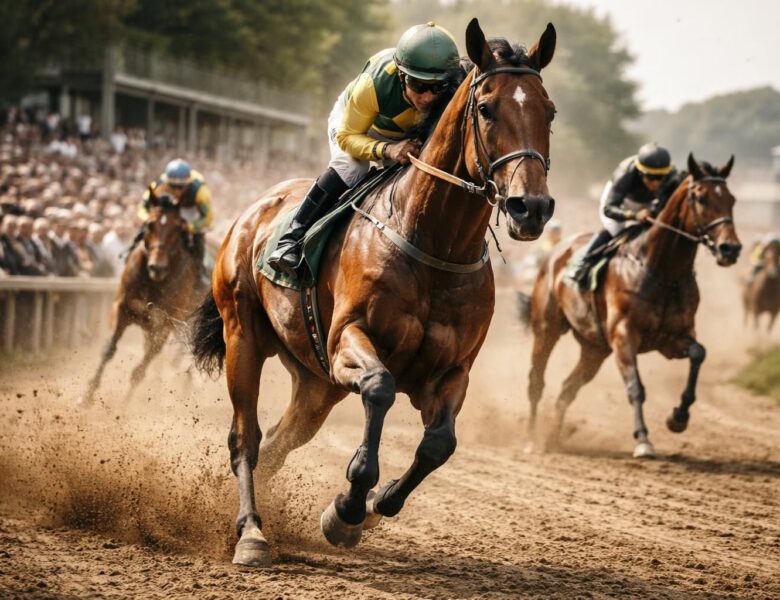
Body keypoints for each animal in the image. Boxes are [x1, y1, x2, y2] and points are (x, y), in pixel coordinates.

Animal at [82, 185, 205, 405]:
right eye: (149, 224)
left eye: (177, 228)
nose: (157, 267)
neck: (153, 282)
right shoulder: (122, 307)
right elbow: (108, 350)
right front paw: (87, 396)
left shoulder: (165, 323)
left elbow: (141, 369)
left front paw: (125, 403)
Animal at [190, 18, 557, 566]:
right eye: (487, 108)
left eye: (548, 111)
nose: (529, 207)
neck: (432, 243)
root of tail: (251, 211)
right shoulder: (350, 338)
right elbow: (380, 388)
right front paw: (346, 507)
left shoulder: (452, 370)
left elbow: (439, 444)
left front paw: (369, 506)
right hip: (244, 336)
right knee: (245, 438)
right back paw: (252, 531)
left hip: (316, 380)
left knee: (281, 440)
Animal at [519, 154, 741, 459]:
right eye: (702, 198)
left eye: (732, 199)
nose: (730, 249)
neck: (662, 271)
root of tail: (553, 253)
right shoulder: (624, 336)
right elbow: (636, 387)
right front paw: (643, 440)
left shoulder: (672, 339)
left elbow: (698, 354)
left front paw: (678, 417)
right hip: (546, 328)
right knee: (536, 381)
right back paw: (531, 439)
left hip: (595, 349)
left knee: (567, 389)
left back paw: (552, 438)